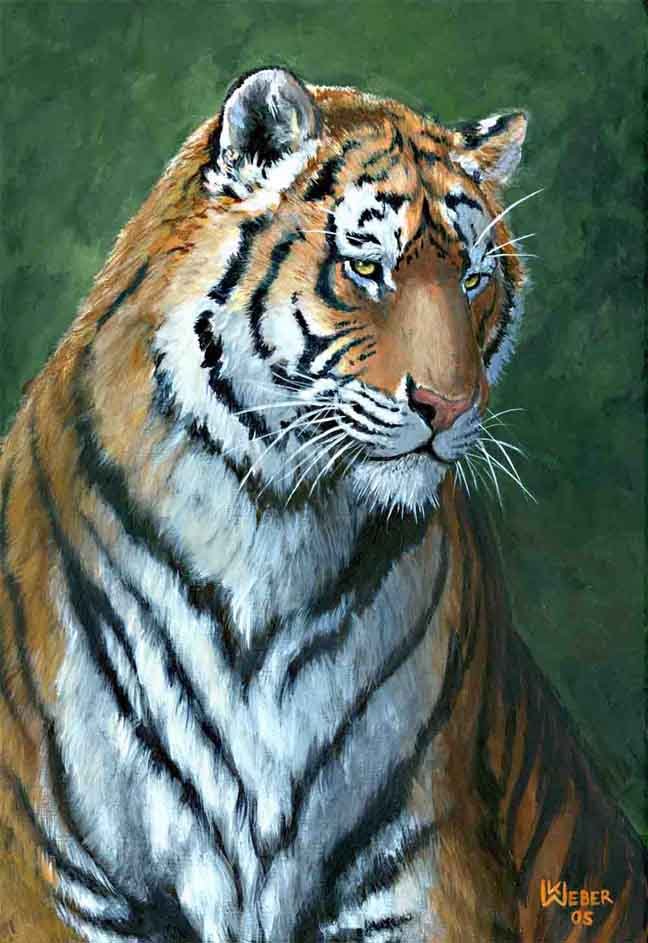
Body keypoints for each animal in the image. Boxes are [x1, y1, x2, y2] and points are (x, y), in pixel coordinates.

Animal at [0, 66, 645, 943]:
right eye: (367, 270)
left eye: (474, 280)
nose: (450, 405)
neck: (271, 525)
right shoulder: (52, 878)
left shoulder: (428, 859)